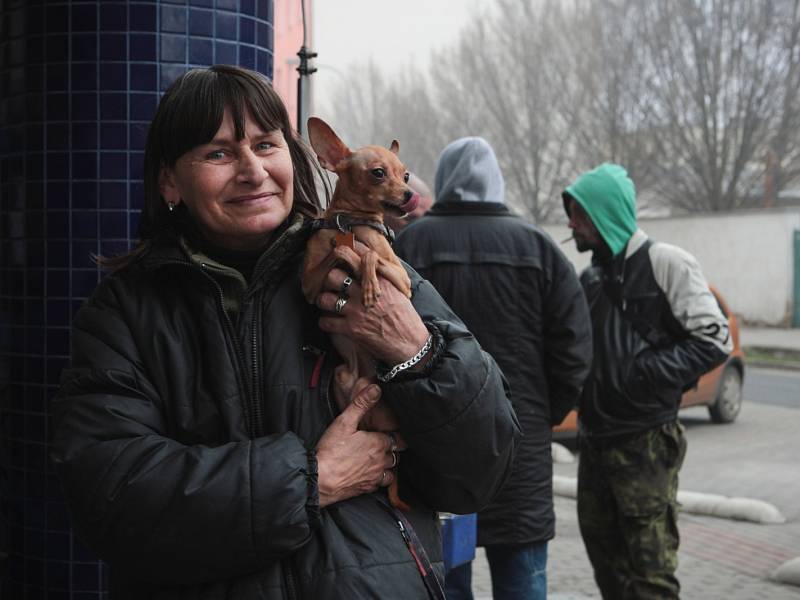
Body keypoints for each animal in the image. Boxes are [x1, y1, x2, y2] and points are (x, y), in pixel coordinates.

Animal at [304, 117, 422, 510]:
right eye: (378, 173)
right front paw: (353, 262)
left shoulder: (402, 280)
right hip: (342, 377)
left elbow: (368, 254)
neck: (350, 223)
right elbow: (341, 253)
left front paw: (369, 285)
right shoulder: (309, 284)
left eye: (406, 174)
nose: (410, 195)